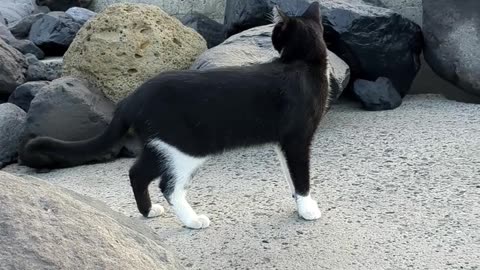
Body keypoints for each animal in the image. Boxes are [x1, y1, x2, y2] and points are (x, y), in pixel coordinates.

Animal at [20, 2, 332, 230]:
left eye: (275, 34)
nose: (271, 37)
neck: (303, 63)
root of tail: (132, 98)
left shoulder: (283, 141)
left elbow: (290, 173)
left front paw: (297, 202)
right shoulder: (297, 138)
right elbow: (300, 173)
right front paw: (307, 207)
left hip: (162, 142)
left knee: (137, 172)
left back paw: (148, 212)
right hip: (187, 147)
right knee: (167, 185)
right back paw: (192, 220)